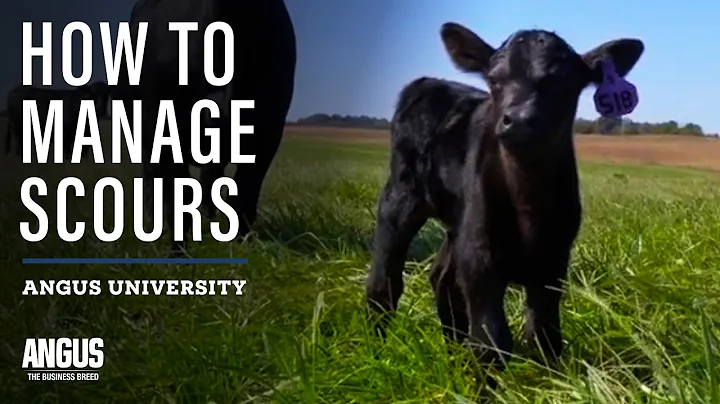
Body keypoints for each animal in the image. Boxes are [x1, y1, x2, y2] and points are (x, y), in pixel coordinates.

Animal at [114, 0, 296, 255]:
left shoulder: (267, 127)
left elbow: (243, 196)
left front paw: (240, 247)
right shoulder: (161, 129)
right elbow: (177, 201)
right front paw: (177, 253)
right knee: (153, 180)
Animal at [365, 22, 644, 378]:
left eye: (564, 82)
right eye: (495, 79)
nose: (521, 119)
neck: (528, 206)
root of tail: (431, 82)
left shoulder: (553, 261)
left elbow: (544, 334)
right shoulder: (481, 258)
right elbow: (491, 342)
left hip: (459, 223)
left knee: (443, 280)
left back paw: (453, 353)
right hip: (401, 197)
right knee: (384, 283)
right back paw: (376, 353)